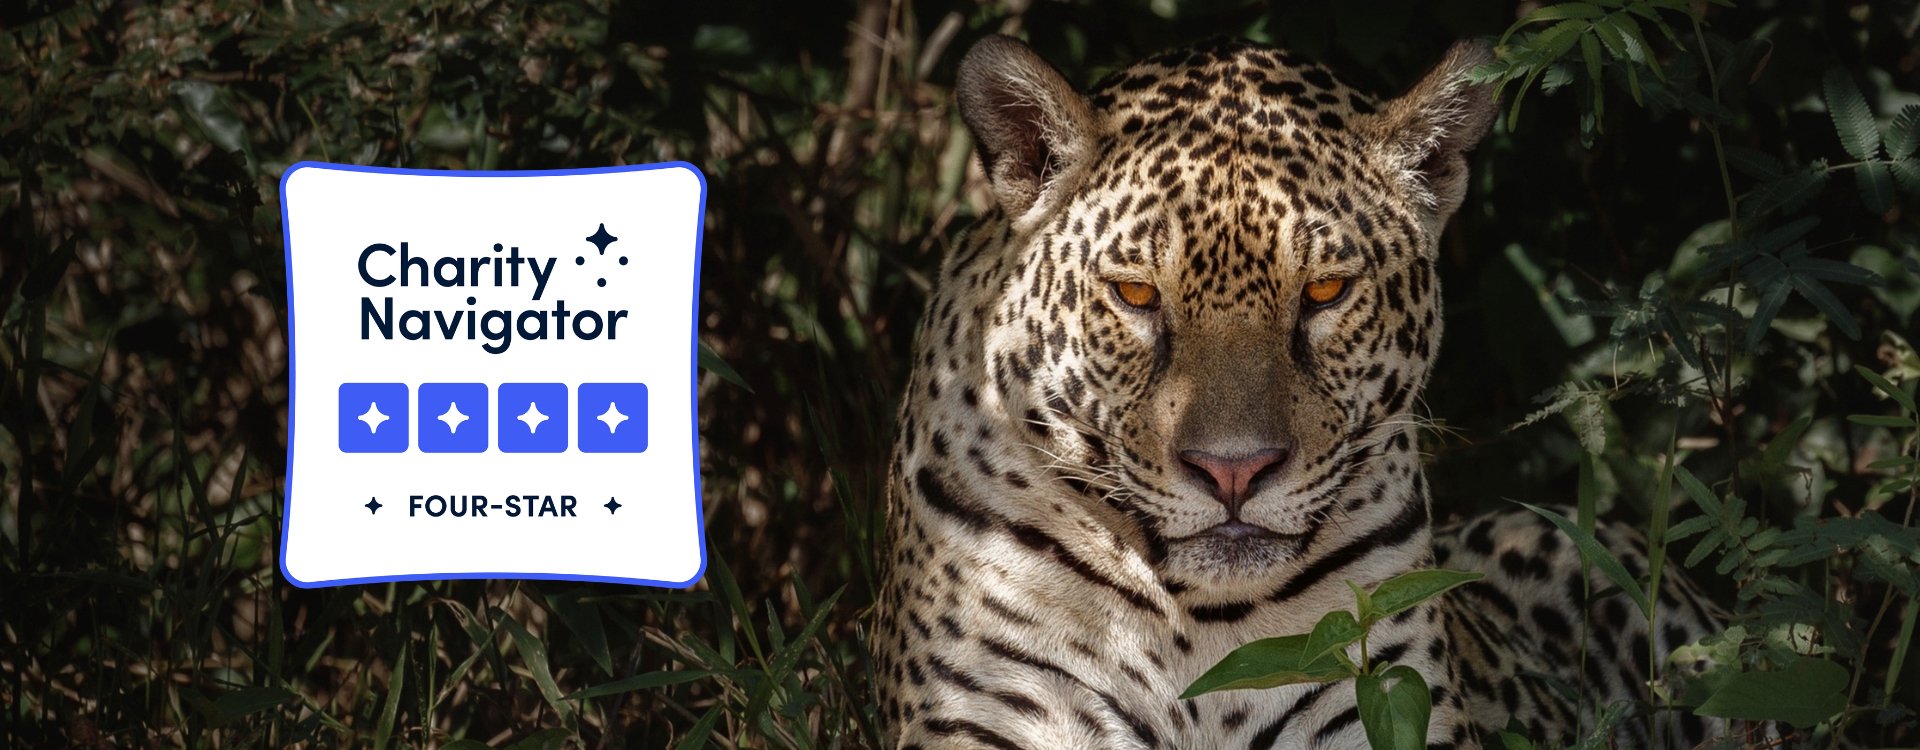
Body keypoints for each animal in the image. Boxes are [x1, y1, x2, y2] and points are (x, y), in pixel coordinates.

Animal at [873, 34, 1727, 749]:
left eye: (1324, 292)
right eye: (1136, 294)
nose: (1234, 472)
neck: (1199, 624)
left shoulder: (1379, 694)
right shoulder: (989, 708)